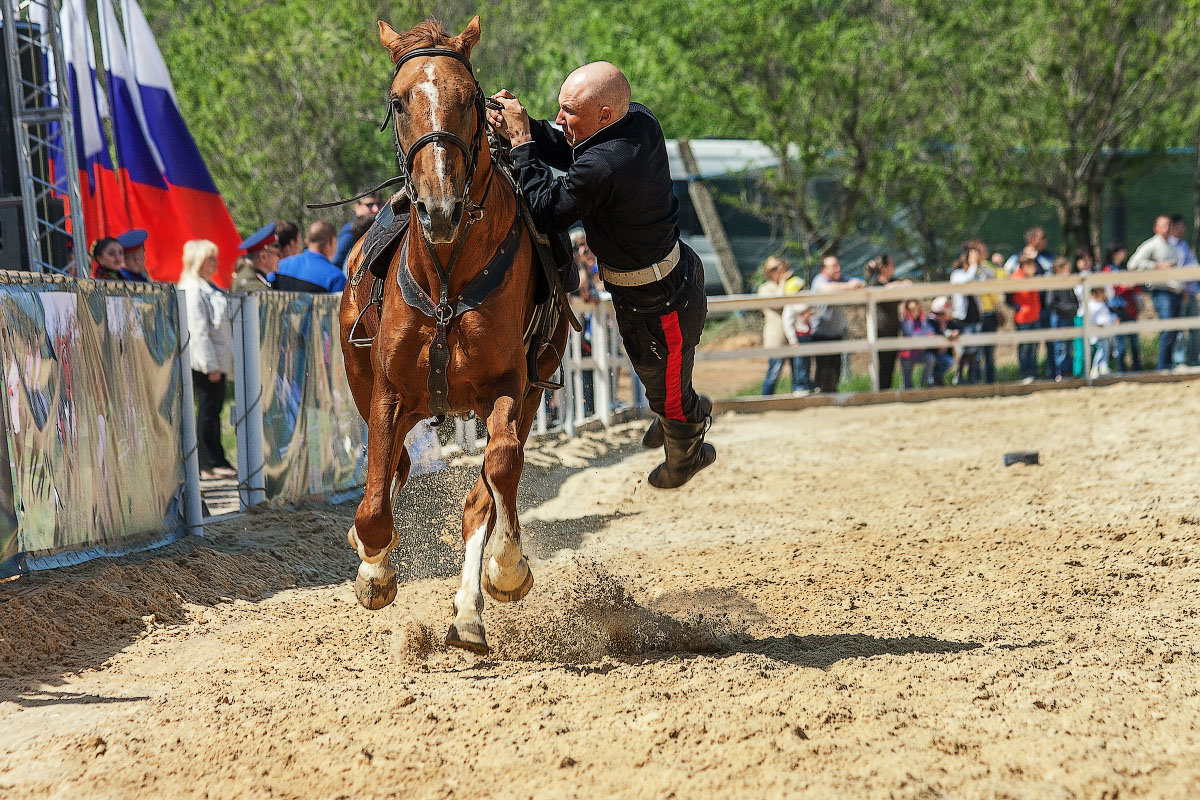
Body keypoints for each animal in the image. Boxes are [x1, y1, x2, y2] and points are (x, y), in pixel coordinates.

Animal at [336, 17, 564, 657]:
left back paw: (469, 610)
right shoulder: (388, 393)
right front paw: (374, 570)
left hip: (529, 392)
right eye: (398, 100)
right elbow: (374, 502)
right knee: (393, 472)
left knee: (482, 491)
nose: (440, 208)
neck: (447, 273)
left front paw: (507, 570)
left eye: (470, 100)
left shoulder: (510, 387)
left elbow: (500, 471)